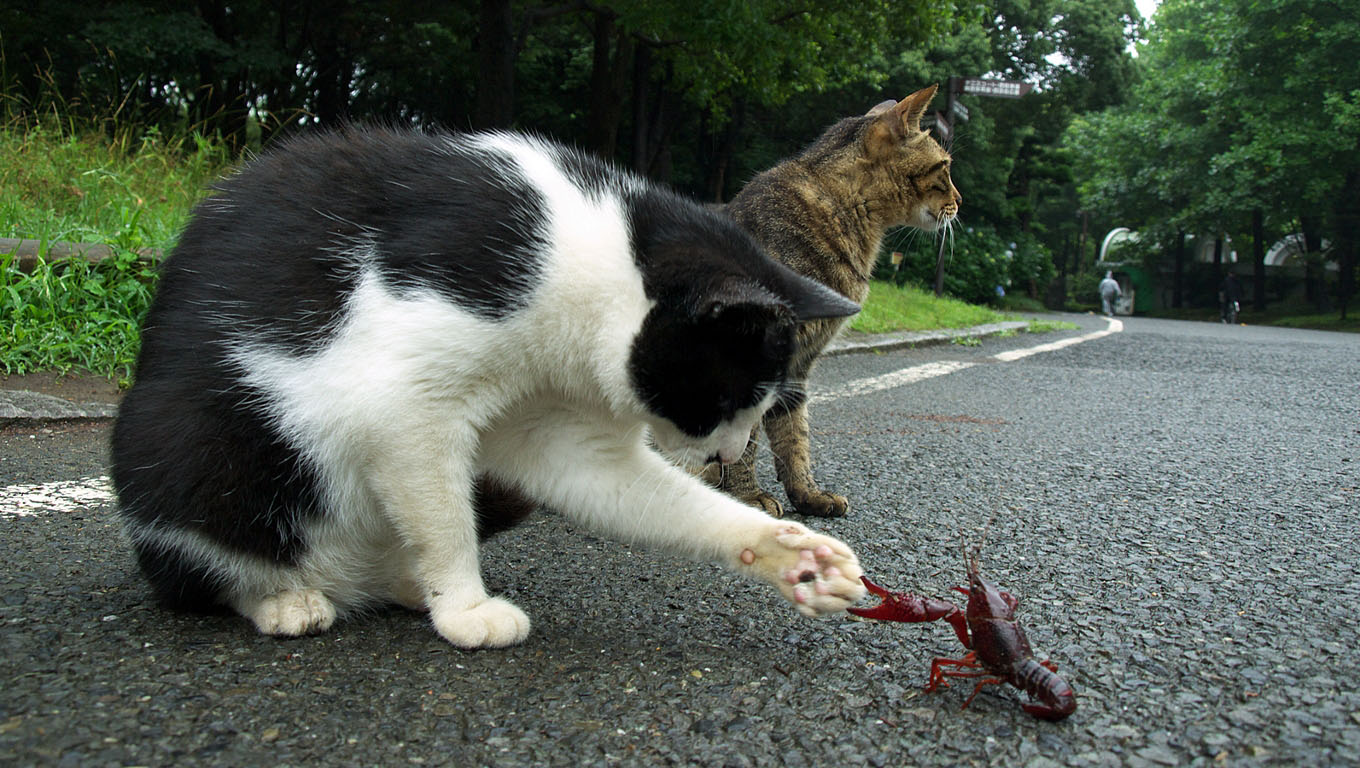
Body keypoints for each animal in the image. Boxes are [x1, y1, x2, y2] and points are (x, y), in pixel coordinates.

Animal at [111, 125, 864, 647]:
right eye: (726, 400)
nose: (730, 455)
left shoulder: (556, 426)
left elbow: (632, 489)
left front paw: (792, 553)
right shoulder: (403, 405)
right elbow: (445, 521)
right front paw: (466, 609)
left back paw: (404, 586)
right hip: (187, 446)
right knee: (206, 566)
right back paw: (286, 599)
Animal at [718, 83, 962, 519]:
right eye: (945, 168)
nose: (961, 200)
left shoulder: (798, 363)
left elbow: (794, 435)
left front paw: (808, 494)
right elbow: (744, 442)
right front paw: (745, 497)